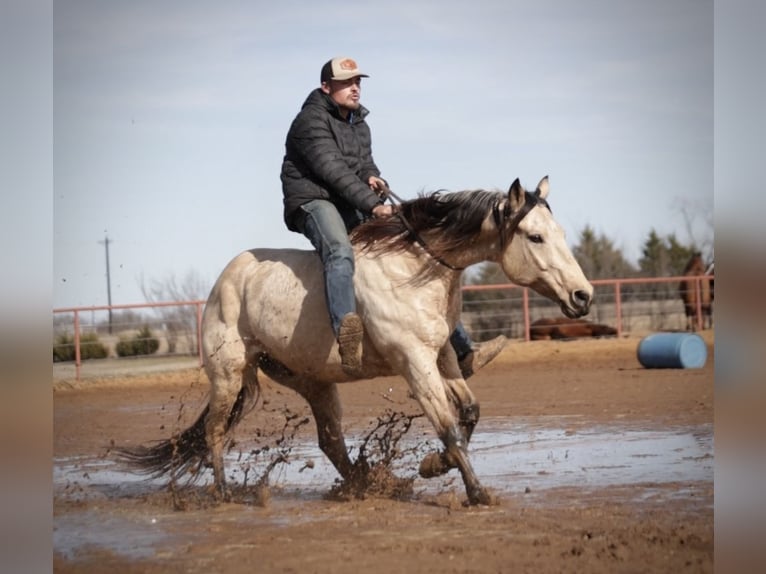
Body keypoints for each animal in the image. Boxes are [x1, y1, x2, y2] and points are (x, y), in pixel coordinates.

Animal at [120, 178, 596, 506]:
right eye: (535, 236)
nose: (583, 295)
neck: (412, 269)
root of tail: (228, 278)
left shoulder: (440, 355)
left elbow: (469, 413)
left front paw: (432, 466)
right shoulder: (414, 363)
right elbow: (448, 428)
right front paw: (477, 493)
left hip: (312, 381)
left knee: (330, 440)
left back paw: (364, 484)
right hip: (228, 373)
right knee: (216, 430)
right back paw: (222, 493)